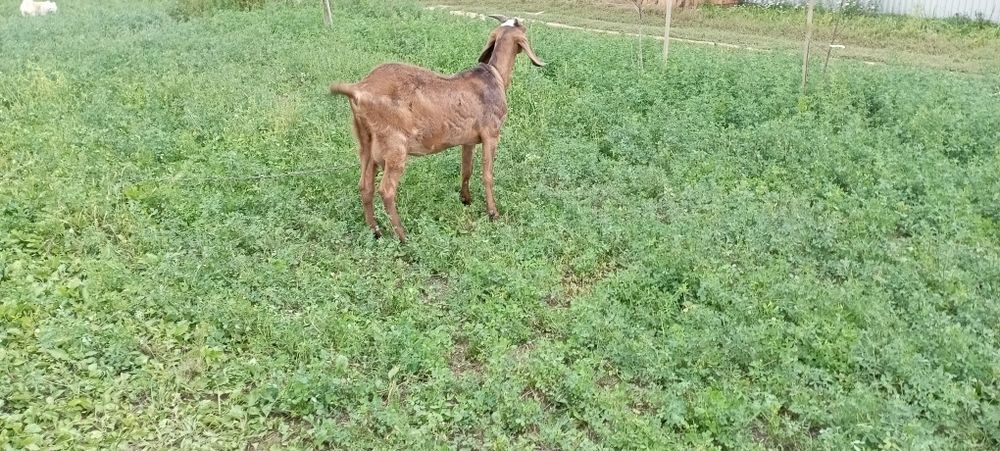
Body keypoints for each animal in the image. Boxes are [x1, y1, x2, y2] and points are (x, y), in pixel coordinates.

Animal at [329, 15, 545, 242]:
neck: (495, 76)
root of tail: (358, 90)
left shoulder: (468, 140)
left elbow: (466, 170)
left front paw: (466, 199)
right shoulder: (491, 134)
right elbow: (487, 174)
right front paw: (493, 213)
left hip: (365, 143)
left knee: (364, 186)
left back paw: (375, 231)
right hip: (394, 146)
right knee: (386, 190)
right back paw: (403, 236)